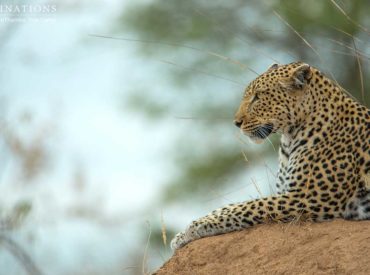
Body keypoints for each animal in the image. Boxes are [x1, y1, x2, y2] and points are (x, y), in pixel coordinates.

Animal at [170, 61, 370, 251]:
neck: (289, 139)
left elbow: (250, 206)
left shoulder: (309, 198)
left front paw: (195, 227)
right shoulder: (289, 193)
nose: (236, 122)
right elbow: (232, 206)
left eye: (258, 97)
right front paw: (181, 235)